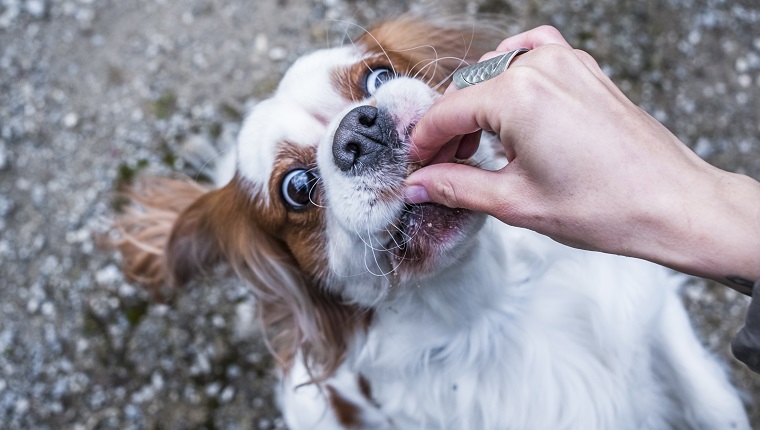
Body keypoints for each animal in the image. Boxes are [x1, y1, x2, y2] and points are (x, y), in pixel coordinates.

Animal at [116, 16, 752, 430]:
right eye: (296, 189)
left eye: (376, 77)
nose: (359, 129)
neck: (494, 308)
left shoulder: (652, 309)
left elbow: (716, 404)